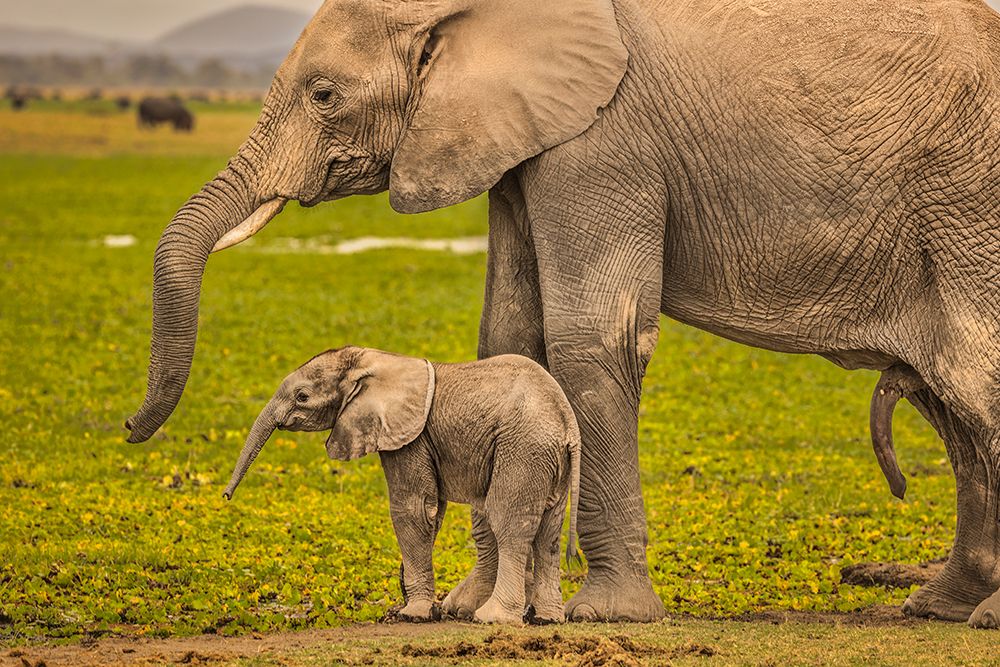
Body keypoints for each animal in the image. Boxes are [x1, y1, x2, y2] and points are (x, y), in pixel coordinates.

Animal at [222, 347, 582, 624]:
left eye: (302, 396)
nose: (225, 496)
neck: (375, 359)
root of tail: (567, 423)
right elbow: (432, 509)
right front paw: (418, 608)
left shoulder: (409, 437)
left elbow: (413, 508)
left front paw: (414, 614)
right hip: (549, 460)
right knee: (548, 532)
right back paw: (547, 619)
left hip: (522, 449)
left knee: (509, 524)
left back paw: (492, 618)